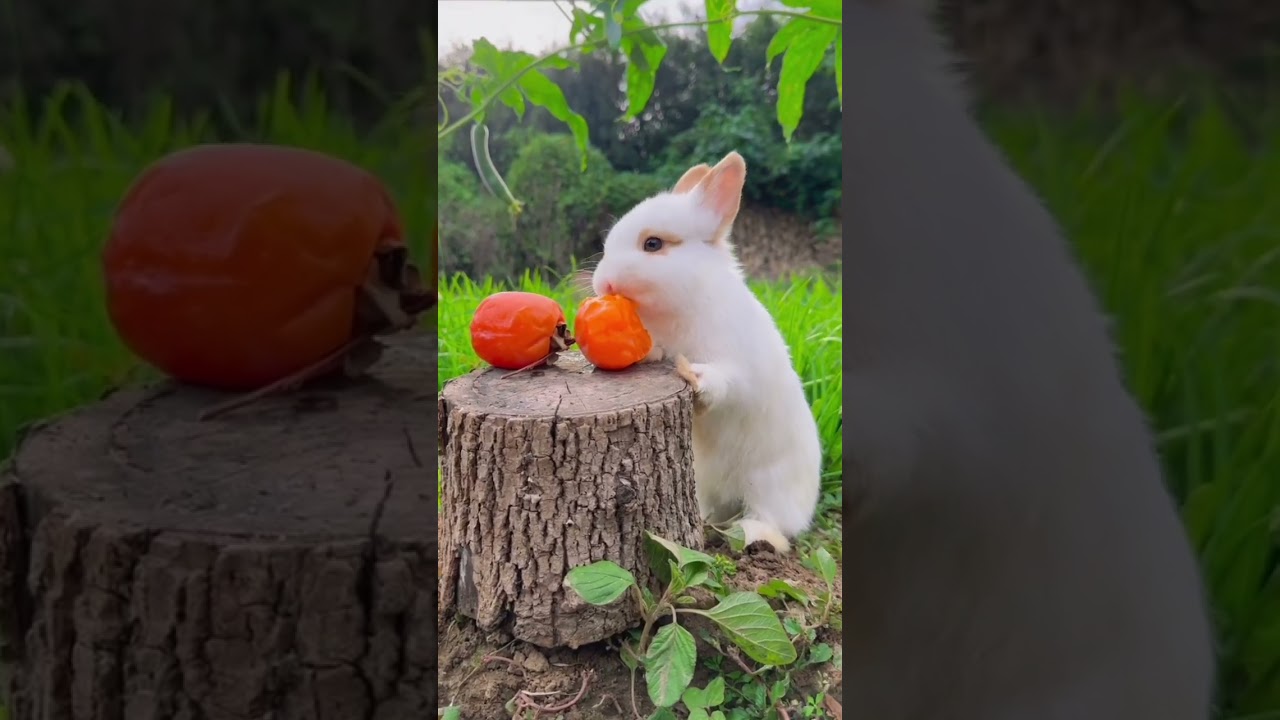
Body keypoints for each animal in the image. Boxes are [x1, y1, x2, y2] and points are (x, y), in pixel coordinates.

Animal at [590, 151, 822, 554]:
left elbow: (723, 382)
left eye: (653, 244)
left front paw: (691, 375)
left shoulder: (739, 368)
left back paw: (755, 535)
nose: (603, 284)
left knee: (775, 524)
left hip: (770, 485)